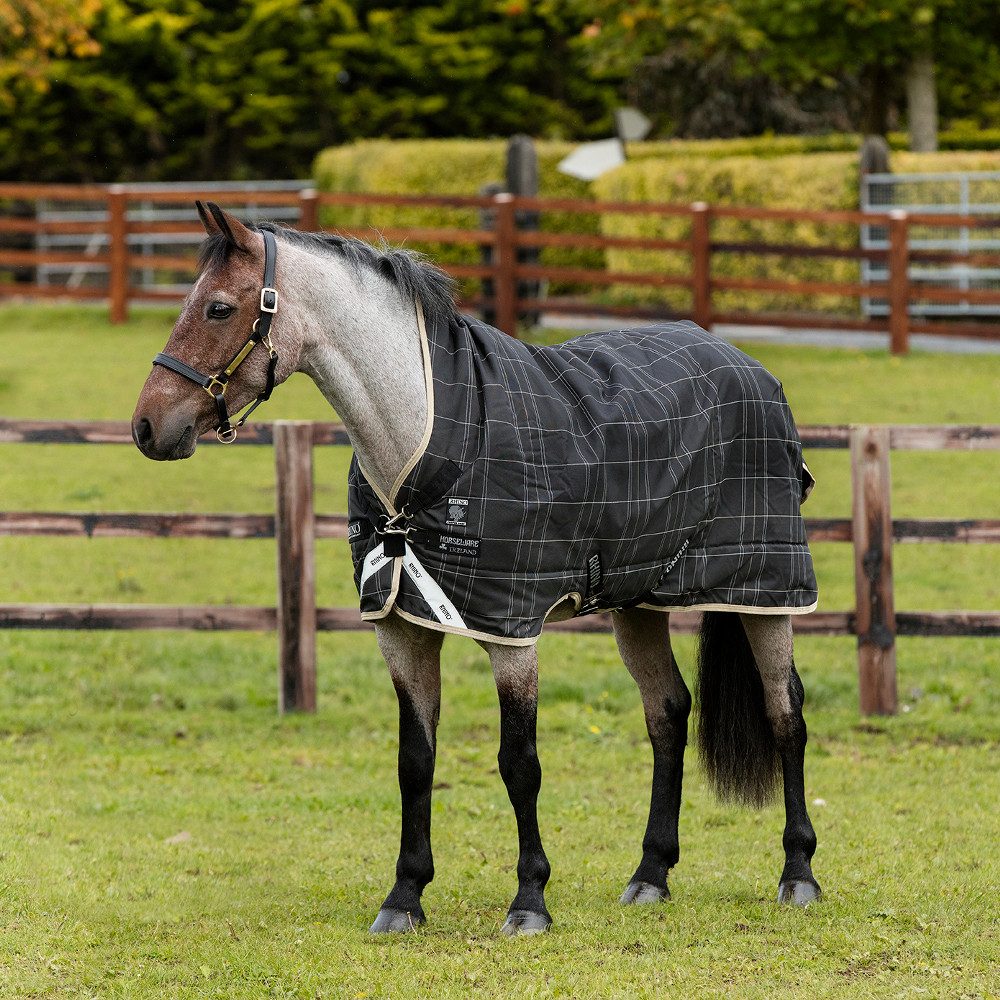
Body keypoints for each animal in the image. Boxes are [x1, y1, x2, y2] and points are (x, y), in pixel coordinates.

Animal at [132, 202, 822, 936]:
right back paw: (650, 875)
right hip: (638, 602)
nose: (147, 426)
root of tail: (748, 365)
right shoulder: (402, 630)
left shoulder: (510, 630)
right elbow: (415, 761)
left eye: (218, 307)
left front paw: (529, 901)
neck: (425, 438)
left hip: (767, 591)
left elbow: (519, 764)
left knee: (786, 712)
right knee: (667, 713)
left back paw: (798, 874)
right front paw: (404, 897)